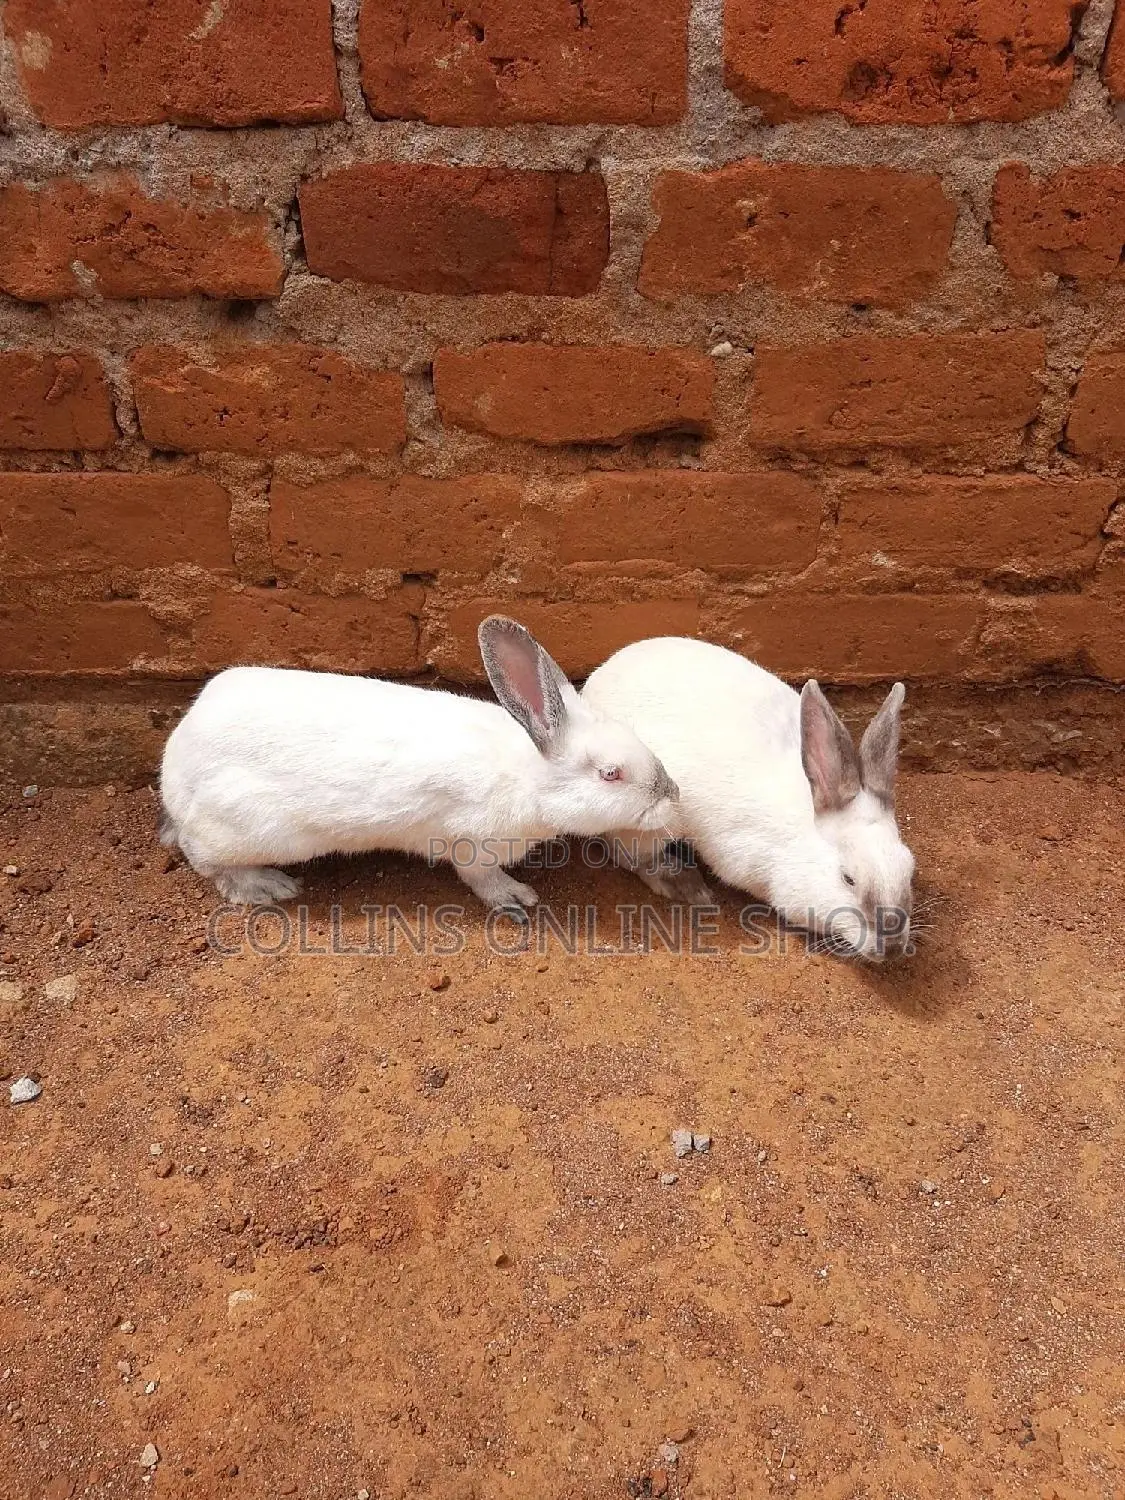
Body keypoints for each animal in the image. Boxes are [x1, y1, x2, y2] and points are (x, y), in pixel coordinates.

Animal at [160, 615, 680, 911]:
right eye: (610, 774)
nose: (672, 794)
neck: (528, 777)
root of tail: (172, 774)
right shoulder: (472, 845)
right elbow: (481, 879)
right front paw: (515, 899)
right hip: (249, 830)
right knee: (205, 859)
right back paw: (267, 887)